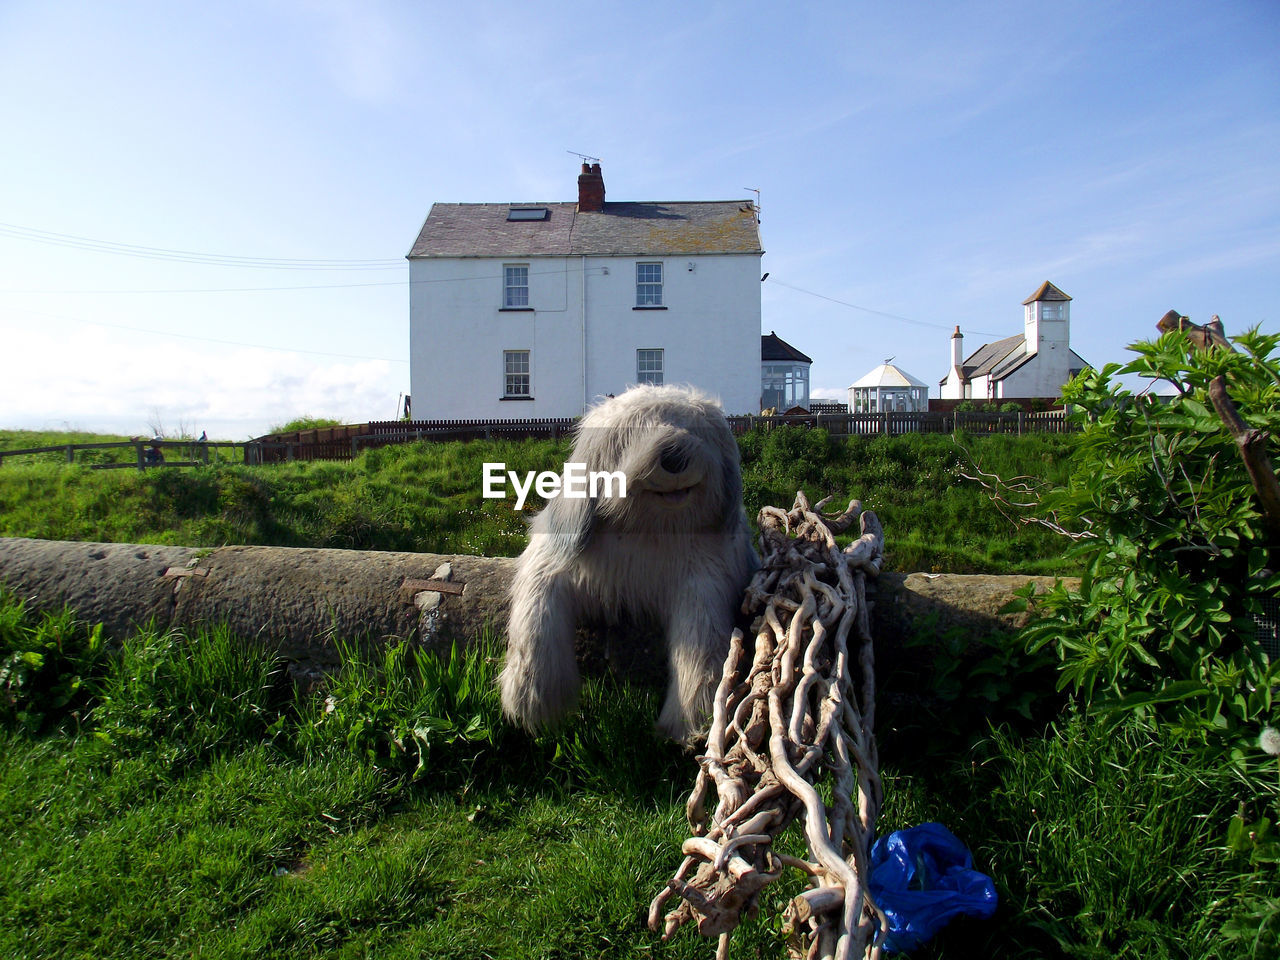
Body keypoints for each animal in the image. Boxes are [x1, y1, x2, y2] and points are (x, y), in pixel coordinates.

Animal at [499, 386, 757, 742]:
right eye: (635, 430)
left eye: (695, 426)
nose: (674, 454)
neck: (648, 530)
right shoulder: (558, 563)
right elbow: (537, 612)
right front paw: (533, 698)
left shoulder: (703, 578)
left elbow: (700, 636)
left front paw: (691, 716)